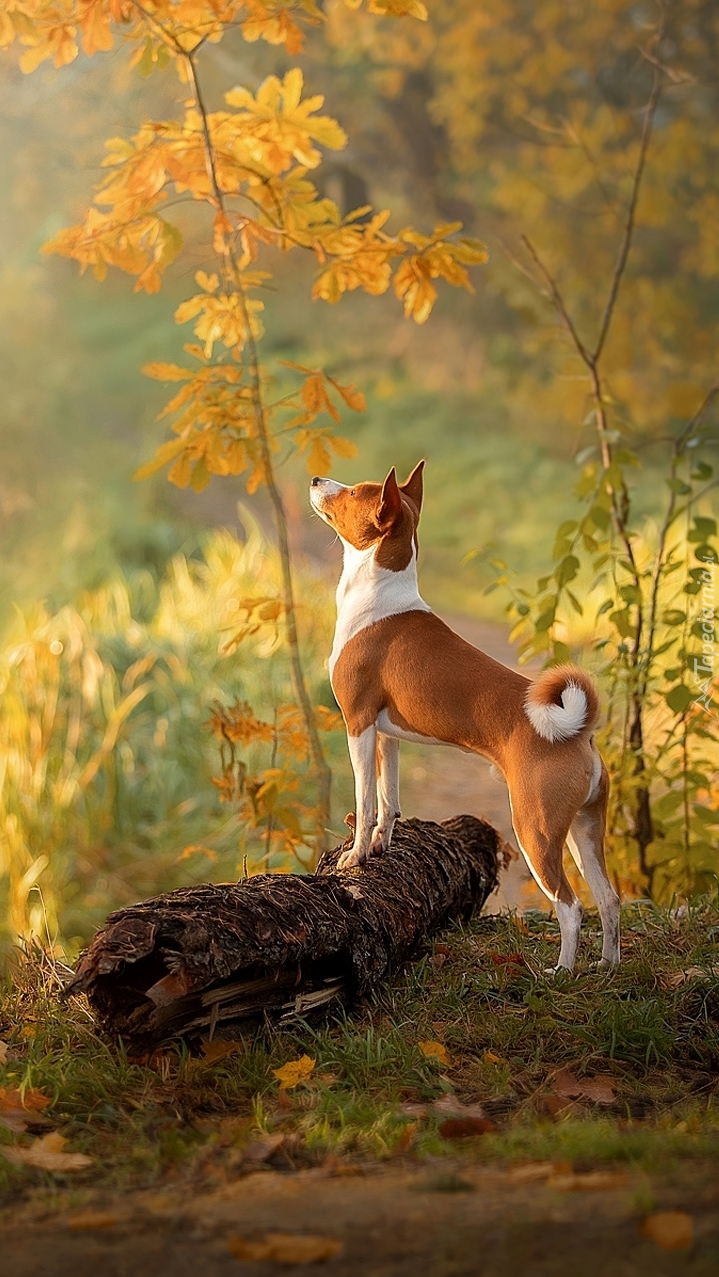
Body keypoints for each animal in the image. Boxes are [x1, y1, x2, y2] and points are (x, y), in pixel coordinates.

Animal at [312, 464, 620, 970]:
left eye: (354, 492)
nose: (318, 480)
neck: (380, 594)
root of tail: (578, 734)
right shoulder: (387, 734)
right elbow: (388, 802)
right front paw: (379, 847)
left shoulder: (358, 724)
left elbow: (365, 800)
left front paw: (355, 859)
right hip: (583, 828)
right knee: (609, 900)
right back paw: (607, 968)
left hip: (535, 831)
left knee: (571, 907)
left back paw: (561, 972)